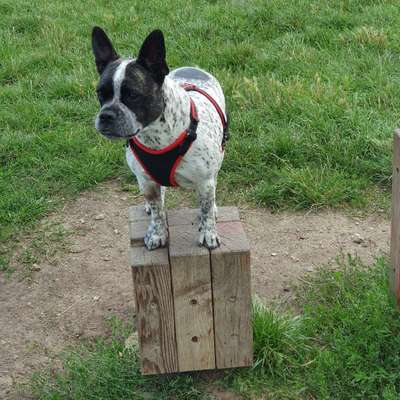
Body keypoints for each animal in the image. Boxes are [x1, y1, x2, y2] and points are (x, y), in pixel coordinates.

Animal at [91, 26, 228, 248]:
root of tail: (192, 68)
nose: (106, 115)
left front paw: (208, 233)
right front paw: (157, 233)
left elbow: (206, 208)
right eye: (100, 94)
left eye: (133, 95)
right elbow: (157, 211)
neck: (155, 136)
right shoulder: (147, 183)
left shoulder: (205, 181)